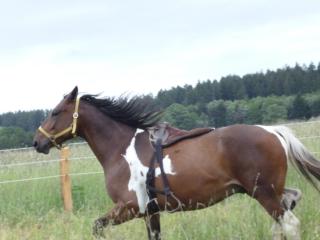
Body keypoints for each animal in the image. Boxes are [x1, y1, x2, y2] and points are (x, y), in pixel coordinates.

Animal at [31, 86, 320, 240]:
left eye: (55, 112)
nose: (37, 142)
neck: (120, 149)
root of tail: (274, 131)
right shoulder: (151, 212)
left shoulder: (129, 207)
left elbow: (97, 226)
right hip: (264, 191)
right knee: (290, 204)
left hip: (264, 192)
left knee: (289, 223)